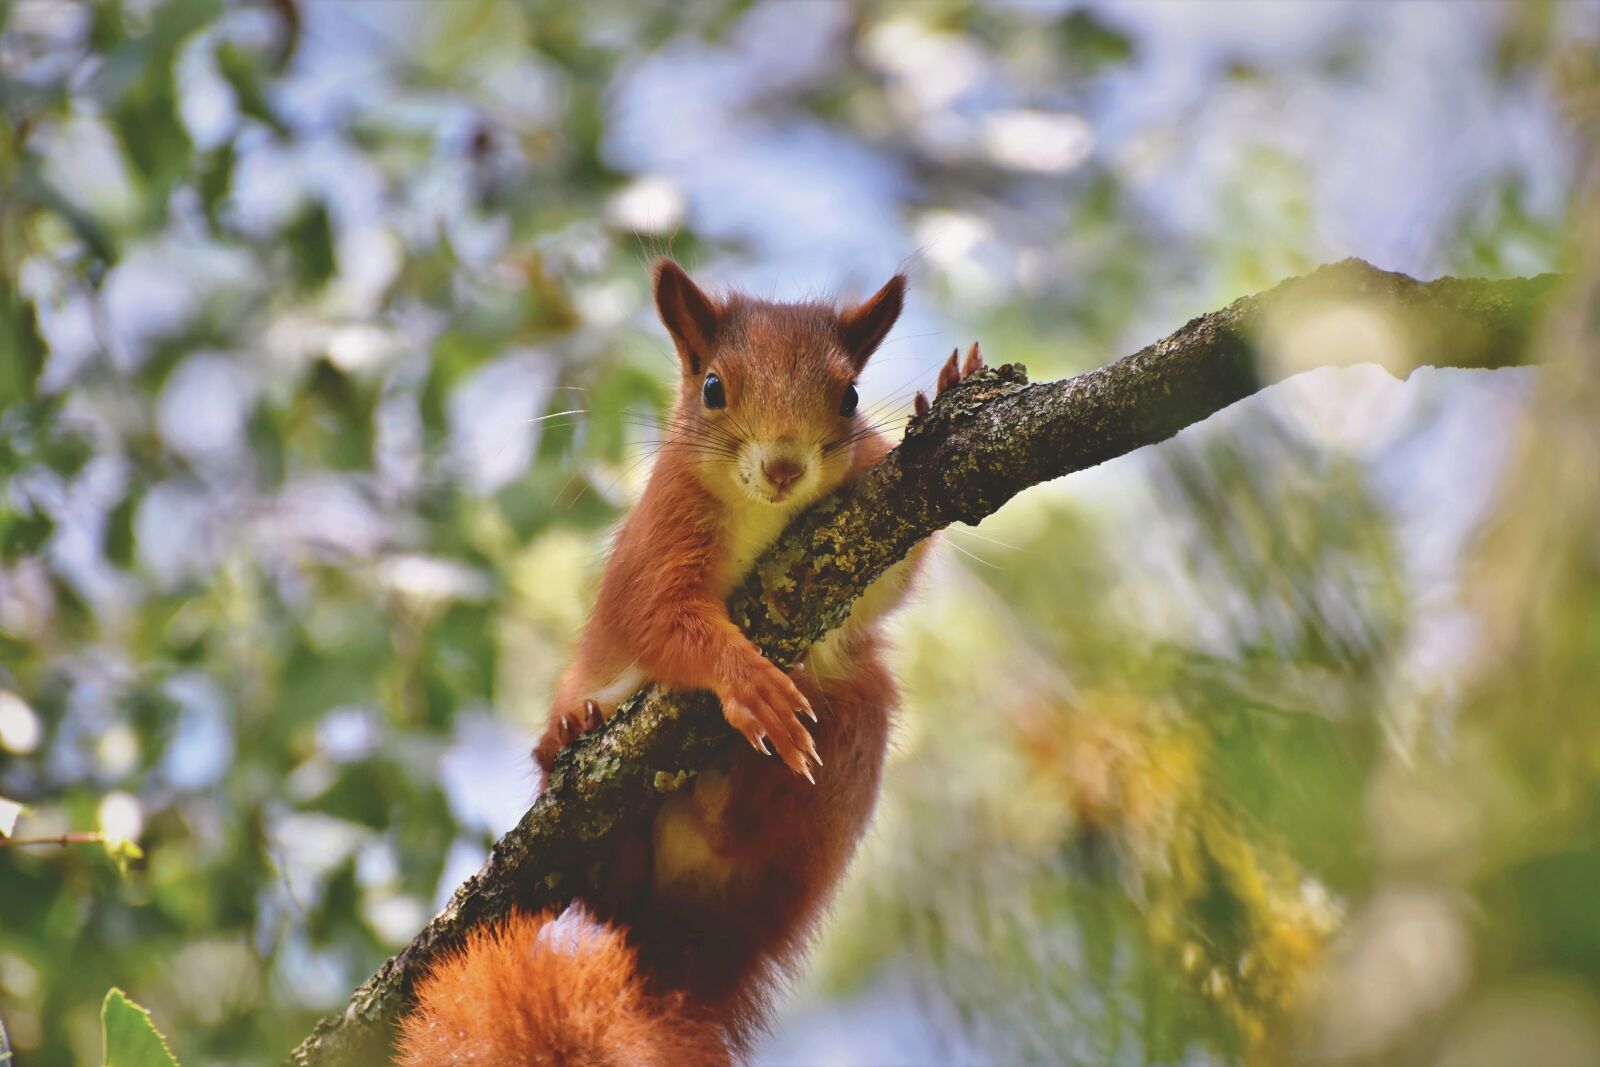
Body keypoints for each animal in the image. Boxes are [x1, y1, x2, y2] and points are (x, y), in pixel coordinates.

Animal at [396, 260, 985, 1066]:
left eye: (851, 396)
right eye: (712, 387)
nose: (782, 467)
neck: (766, 511)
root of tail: (687, 949)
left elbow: (890, 581)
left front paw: (957, 381)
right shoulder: (658, 542)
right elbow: (661, 623)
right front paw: (746, 680)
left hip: (851, 718)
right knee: (609, 886)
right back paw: (572, 744)